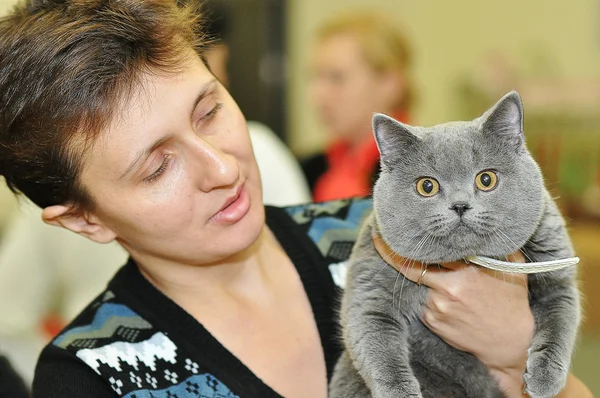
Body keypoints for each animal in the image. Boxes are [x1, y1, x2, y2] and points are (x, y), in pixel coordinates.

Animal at [328, 91, 580, 396]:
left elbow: (561, 317)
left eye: (486, 179)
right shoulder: (371, 284)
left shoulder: (555, 266)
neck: (465, 262)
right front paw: (400, 392)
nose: (460, 205)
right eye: (427, 186)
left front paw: (545, 378)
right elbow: (376, 341)